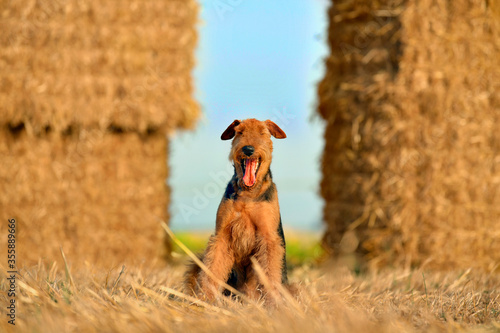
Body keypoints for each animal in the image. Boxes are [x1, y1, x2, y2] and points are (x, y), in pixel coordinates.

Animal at [185, 118, 288, 300]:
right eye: (239, 132)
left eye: (263, 132)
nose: (248, 149)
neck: (248, 193)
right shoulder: (222, 234)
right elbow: (213, 269)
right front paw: (206, 298)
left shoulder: (268, 237)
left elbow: (270, 273)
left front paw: (272, 302)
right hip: (197, 264)